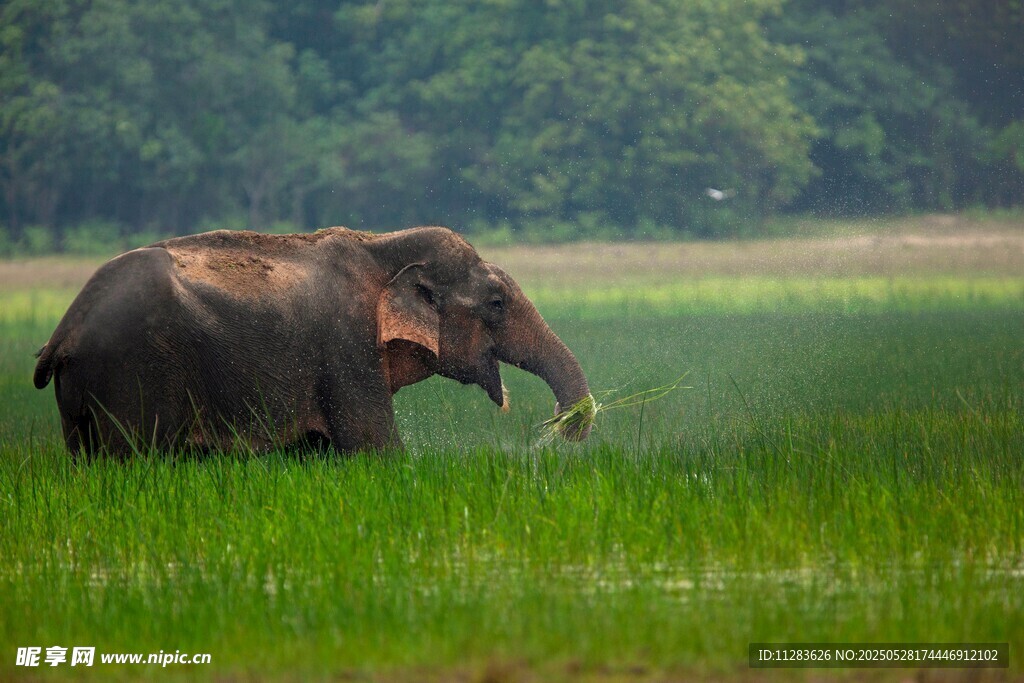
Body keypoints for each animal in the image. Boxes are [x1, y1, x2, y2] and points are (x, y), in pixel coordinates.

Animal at [33, 226, 594, 456]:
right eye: (497, 303)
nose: (564, 426)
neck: (381, 245)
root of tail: (65, 329)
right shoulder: (347, 348)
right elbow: (374, 447)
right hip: (132, 375)